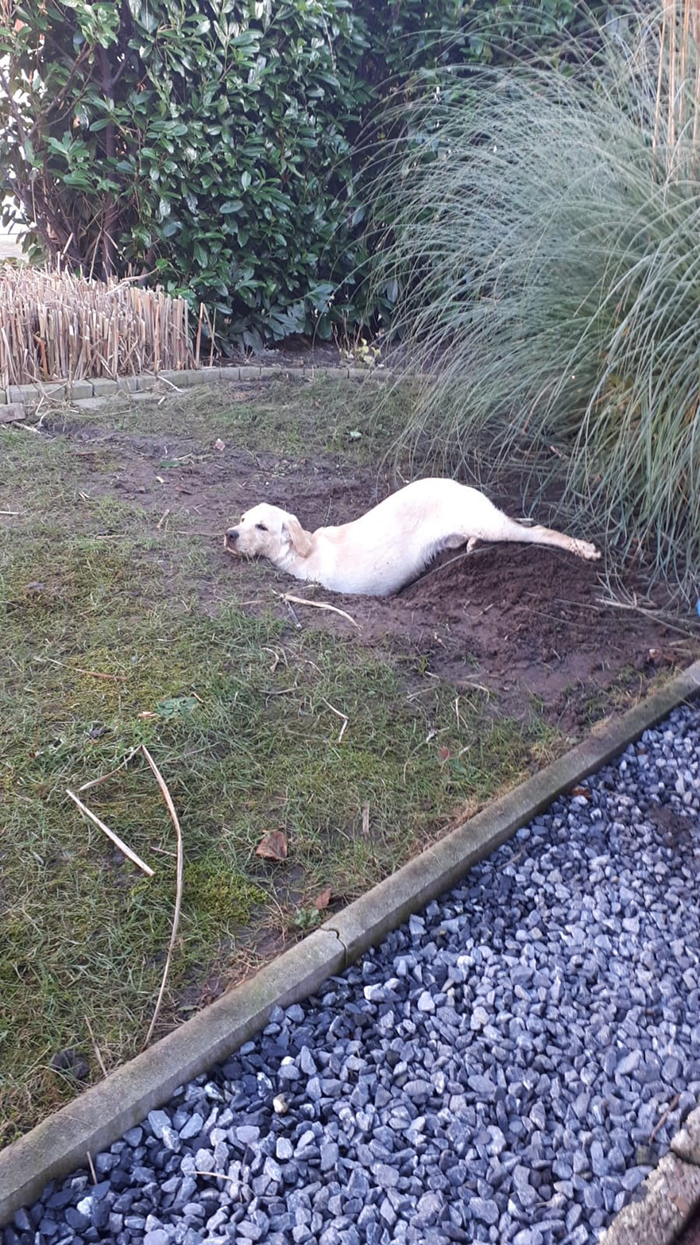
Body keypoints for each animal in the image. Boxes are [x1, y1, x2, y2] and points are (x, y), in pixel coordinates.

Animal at [224, 475, 600, 597]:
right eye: (242, 518)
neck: (304, 549)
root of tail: (459, 485)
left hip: (494, 524)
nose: (229, 534)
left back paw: (583, 548)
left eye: (261, 527)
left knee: (538, 531)